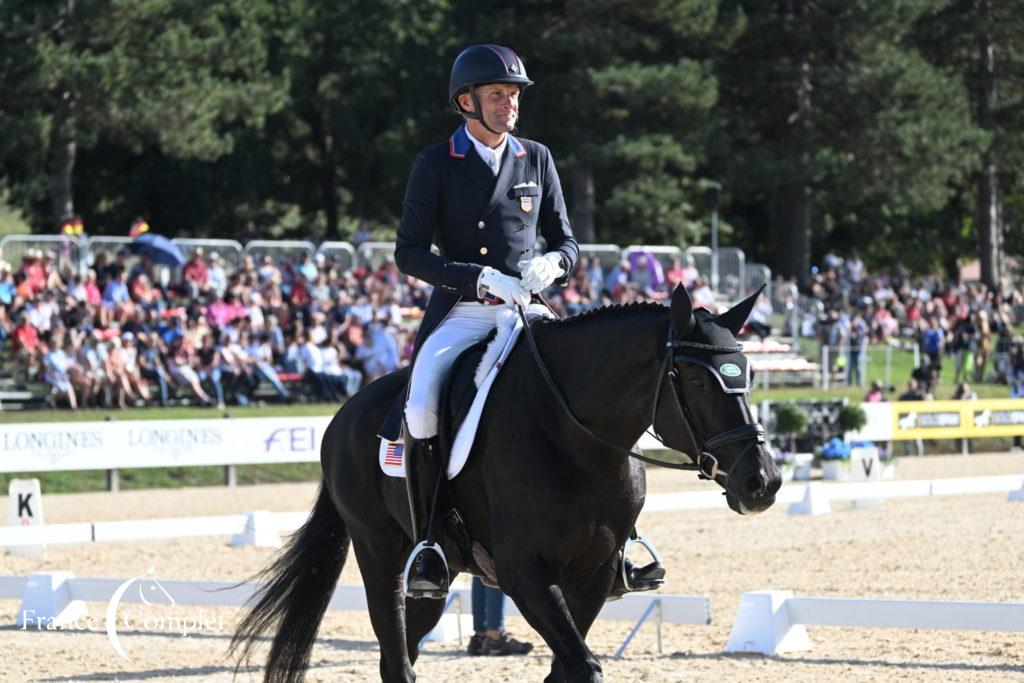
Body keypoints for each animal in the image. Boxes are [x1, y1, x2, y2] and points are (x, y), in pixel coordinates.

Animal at [230, 284, 774, 683]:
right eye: (698, 380)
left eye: (747, 373)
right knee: (396, 658)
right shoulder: (524, 572)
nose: (761, 482)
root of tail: (346, 413)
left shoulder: (595, 573)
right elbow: (583, 667)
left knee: (404, 648)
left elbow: (566, 668)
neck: (571, 432)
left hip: (435, 579)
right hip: (378, 551)